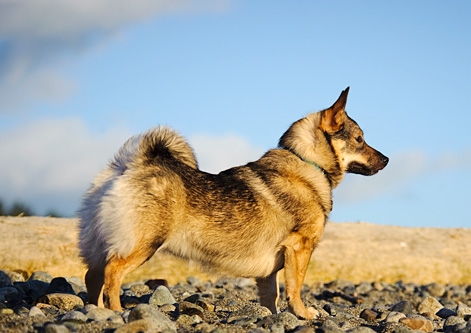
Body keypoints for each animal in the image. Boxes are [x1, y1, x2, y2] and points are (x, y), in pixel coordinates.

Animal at [77, 87, 390, 318]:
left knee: (93, 276)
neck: (307, 162)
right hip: (143, 244)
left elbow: (273, 295)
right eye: (359, 139)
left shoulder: (271, 271)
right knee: (112, 274)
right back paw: (117, 311)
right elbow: (296, 287)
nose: (387, 160)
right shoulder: (299, 248)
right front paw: (303, 314)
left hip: (101, 245)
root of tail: (132, 164)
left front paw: (275, 317)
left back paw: (98, 312)